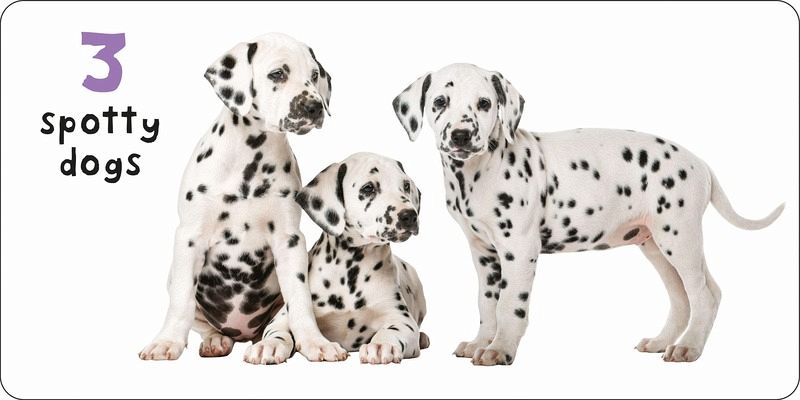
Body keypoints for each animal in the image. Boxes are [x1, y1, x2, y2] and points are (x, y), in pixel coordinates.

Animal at [139, 33, 349, 362]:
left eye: (314, 76)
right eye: (277, 74)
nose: (314, 107)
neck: (250, 159)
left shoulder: (290, 241)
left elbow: (300, 300)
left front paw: (315, 342)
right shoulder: (189, 238)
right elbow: (181, 301)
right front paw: (167, 341)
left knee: (278, 325)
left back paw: (271, 345)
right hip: (173, 277)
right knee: (202, 320)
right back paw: (215, 340)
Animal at [242, 152, 429, 364]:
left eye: (405, 185)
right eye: (368, 188)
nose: (410, 216)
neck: (350, 270)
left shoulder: (402, 319)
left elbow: (392, 330)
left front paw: (381, 345)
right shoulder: (282, 317)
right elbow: (278, 331)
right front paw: (268, 345)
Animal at [392, 63, 784, 365]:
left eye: (485, 103)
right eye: (440, 101)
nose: (461, 135)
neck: (477, 172)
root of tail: (701, 164)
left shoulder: (519, 250)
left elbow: (510, 306)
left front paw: (501, 349)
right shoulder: (484, 254)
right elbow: (487, 305)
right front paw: (481, 342)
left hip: (680, 238)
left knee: (704, 295)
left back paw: (689, 347)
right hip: (656, 245)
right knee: (682, 298)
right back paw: (661, 342)